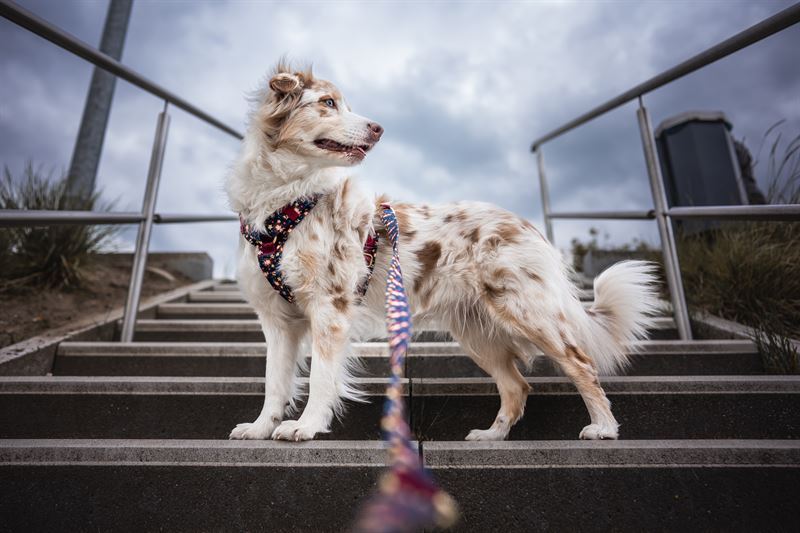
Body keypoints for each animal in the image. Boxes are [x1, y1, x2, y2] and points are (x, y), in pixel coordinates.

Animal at [223, 62, 656, 440]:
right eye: (328, 102)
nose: (379, 128)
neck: (284, 203)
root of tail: (525, 223)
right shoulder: (277, 320)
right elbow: (274, 381)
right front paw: (261, 428)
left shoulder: (329, 307)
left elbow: (320, 378)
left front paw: (306, 426)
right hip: (477, 333)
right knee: (517, 386)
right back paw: (492, 436)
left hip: (526, 310)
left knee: (581, 364)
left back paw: (603, 428)